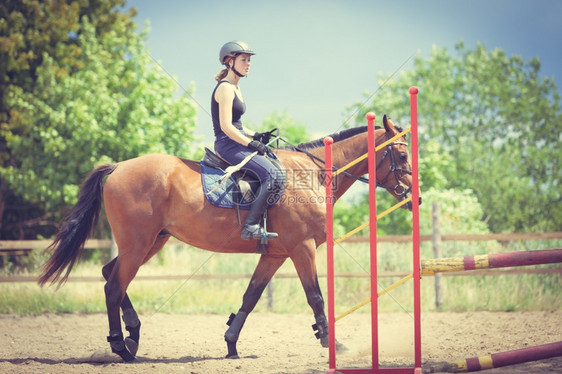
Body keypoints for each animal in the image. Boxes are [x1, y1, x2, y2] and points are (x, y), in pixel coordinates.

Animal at [38, 114, 416, 362]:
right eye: (401, 155)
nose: (416, 197)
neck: (311, 175)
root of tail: (118, 166)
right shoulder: (302, 248)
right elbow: (316, 298)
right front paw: (332, 344)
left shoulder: (276, 254)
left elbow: (251, 297)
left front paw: (231, 344)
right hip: (138, 244)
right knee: (114, 286)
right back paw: (121, 346)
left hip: (151, 242)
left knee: (109, 275)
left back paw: (132, 336)